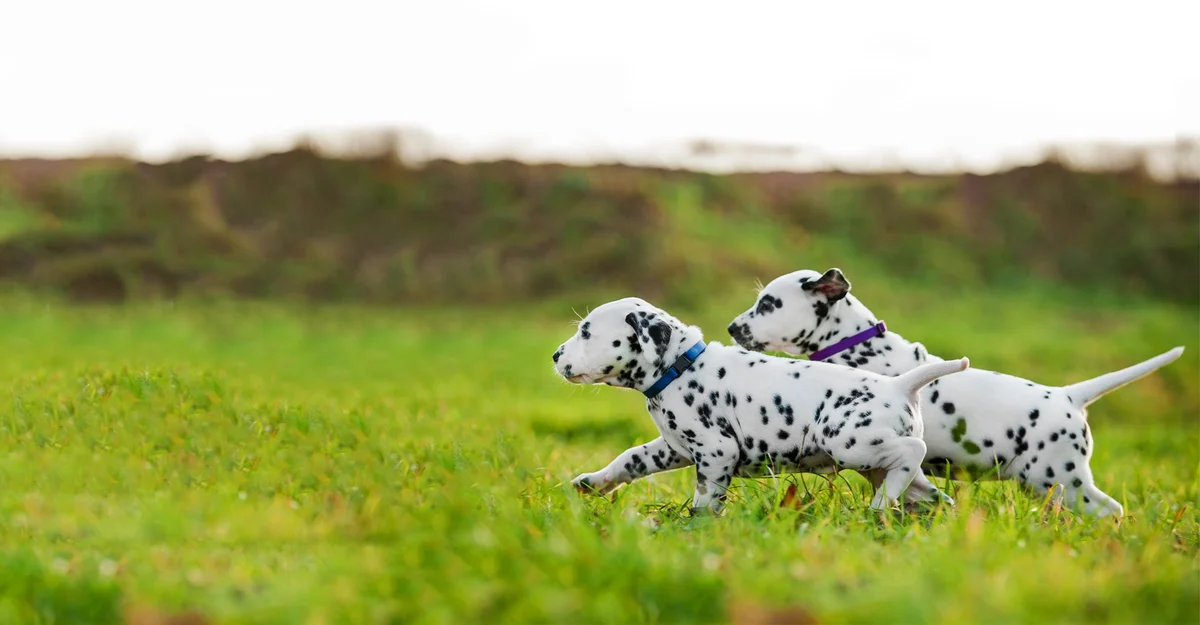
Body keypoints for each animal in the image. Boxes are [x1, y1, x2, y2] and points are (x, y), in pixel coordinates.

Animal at [552, 297, 971, 515]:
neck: (681, 366)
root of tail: (901, 385)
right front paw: (592, 483)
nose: (556, 355)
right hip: (880, 465)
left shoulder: (716, 451)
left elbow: (705, 498)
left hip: (850, 443)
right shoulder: (672, 448)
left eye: (586, 332)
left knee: (913, 450)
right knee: (927, 488)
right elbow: (629, 458)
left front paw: (695, 527)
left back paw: (881, 505)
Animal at [727, 268, 1184, 517]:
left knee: (1111, 510)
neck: (857, 347)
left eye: (768, 304)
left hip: (1061, 478)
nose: (732, 328)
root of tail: (1068, 396)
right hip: (1048, 485)